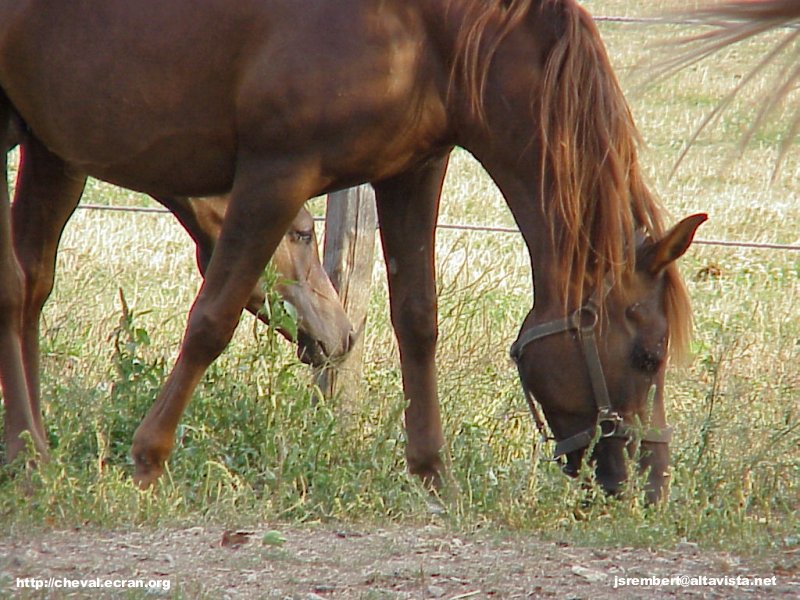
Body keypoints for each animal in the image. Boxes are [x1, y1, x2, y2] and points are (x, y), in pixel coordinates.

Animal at [0, 0, 700, 502]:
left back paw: (30, 455)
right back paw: (30, 457)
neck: (423, 33)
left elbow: (417, 320)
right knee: (16, 291)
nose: (651, 489)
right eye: (648, 356)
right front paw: (147, 460)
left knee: (32, 286)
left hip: (52, 150)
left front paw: (433, 477)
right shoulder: (276, 174)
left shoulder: (414, 171)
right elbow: (212, 320)